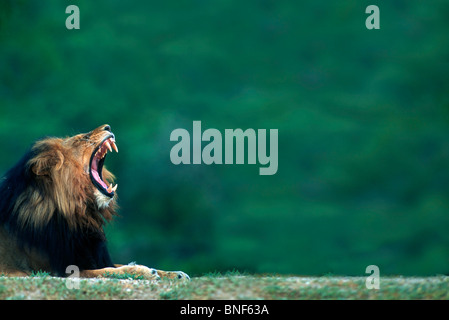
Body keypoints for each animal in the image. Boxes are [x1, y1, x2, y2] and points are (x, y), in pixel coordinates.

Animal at [0, 124, 188, 282]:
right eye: (82, 138)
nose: (108, 127)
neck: (81, 213)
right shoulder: (57, 269)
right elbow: (109, 271)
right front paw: (144, 271)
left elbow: (116, 266)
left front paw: (175, 274)